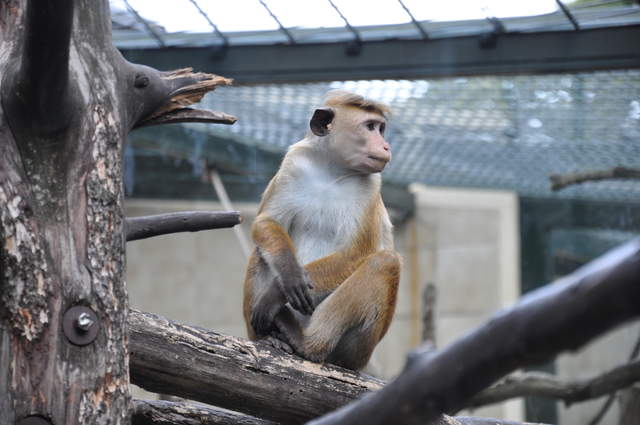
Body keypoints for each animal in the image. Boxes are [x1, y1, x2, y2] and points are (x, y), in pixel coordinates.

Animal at [242, 90, 398, 372]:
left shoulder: (370, 186)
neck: (331, 171)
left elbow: (355, 254)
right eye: (371, 127)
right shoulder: (294, 163)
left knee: (386, 263)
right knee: (261, 252)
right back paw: (267, 338)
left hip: (356, 351)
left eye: (381, 128)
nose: (386, 146)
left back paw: (307, 344)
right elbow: (267, 222)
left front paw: (276, 292)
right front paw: (290, 272)